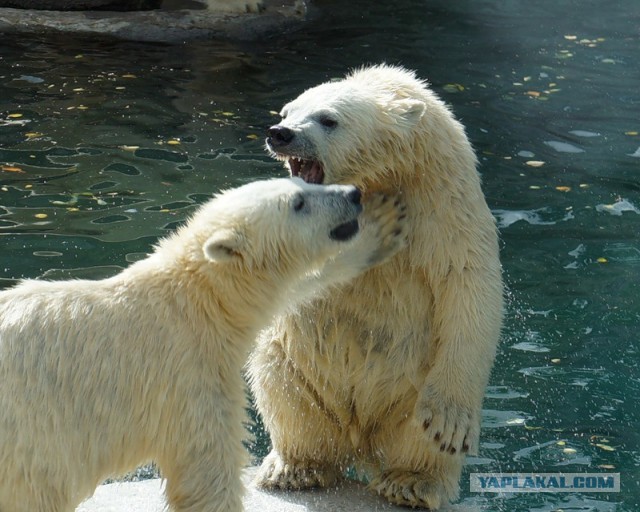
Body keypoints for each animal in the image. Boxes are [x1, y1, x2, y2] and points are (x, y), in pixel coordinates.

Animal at [0, 177, 404, 512]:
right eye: (298, 203)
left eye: (305, 183)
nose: (352, 194)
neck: (196, 302)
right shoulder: (189, 380)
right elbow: (207, 475)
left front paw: (381, 226)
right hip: (30, 436)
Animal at [248, 65, 502, 508]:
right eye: (287, 110)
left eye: (328, 119)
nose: (279, 133)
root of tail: (359, 438)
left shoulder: (445, 200)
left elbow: (468, 284)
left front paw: (449, 422)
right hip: (299, 366)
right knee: (282, 386)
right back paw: (294, 467)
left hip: (409, 391)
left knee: (414, 433)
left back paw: (412, 481)